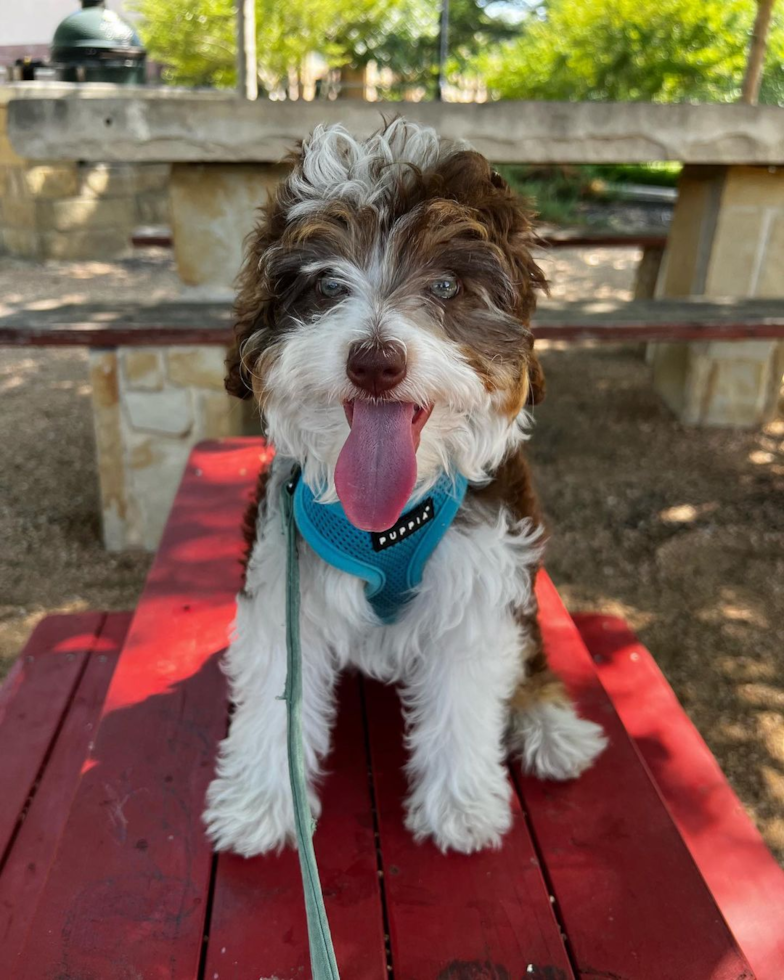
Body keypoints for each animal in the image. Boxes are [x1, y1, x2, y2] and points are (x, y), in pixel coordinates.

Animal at [204, 117, 608, 856]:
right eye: (325, 285)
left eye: (446, 286)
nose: (374, 360)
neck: (386, 520)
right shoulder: (283, 579)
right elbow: (278, 689)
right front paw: (259, 803)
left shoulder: (481, 580)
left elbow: (465, 697)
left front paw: (461, 805)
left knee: (530, 659)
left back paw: (549, 725)